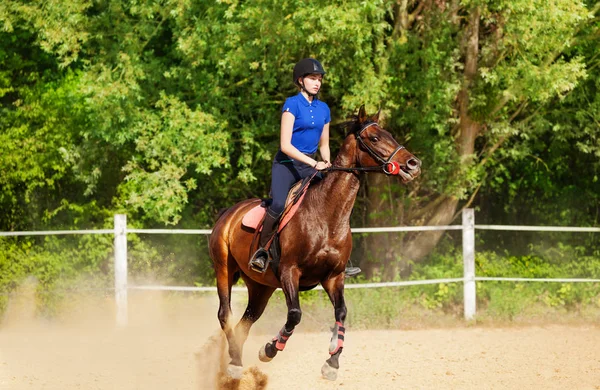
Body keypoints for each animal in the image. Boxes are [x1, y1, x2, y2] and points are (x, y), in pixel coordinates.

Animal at [209, 105, 420, 380]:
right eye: (374, 138)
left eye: (390, 135)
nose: (413, 164)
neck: (327, 215)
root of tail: (229, 213)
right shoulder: (290, 271)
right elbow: (295, 315)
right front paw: (269, 349)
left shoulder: (333, 277)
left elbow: (341, 313)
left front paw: (332, 360)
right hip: (224, 269)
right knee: (225, 314)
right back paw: (234, 364)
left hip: (260, 286)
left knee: (246, 321)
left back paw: (235, 359)